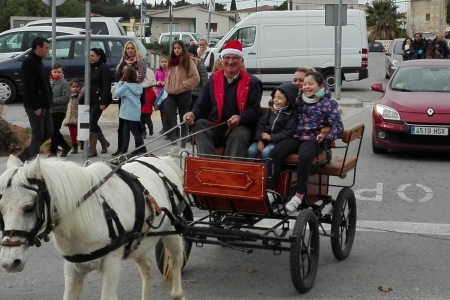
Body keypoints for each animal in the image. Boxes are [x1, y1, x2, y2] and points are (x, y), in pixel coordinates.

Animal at [0, 155, 186, 300]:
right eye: (1, 208)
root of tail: (161, 160)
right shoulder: (72, 269)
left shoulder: (111, 264)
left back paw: (178, 293)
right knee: (146, 267)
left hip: (171, 232)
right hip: (137, 244)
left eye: (30, 208)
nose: (10, 262)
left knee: (177, 258)